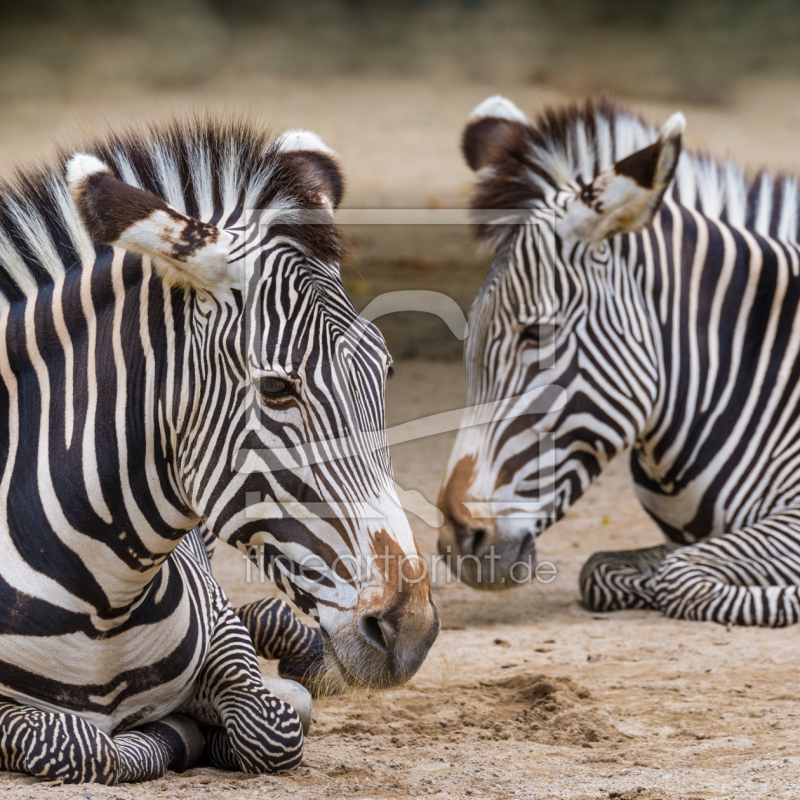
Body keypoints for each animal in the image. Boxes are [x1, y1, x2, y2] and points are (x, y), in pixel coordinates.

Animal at [0, 115, 438, 784]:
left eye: (384, 370)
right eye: (277, 388)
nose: (409, 628)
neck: (103, 608)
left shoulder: (221, 630)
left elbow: (270, 725)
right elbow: (81, 744)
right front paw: (173, 735)